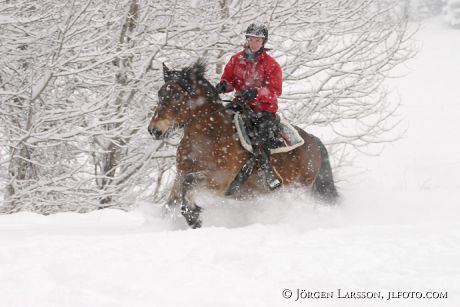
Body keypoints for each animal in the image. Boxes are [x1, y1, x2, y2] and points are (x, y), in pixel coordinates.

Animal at [148, 60, 338, 229]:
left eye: (177, 95)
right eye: (160, 94)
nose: (154, 130)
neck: (209, 136)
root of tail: (313, 141)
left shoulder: (220, 180)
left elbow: (189, 182)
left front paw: (193, 217)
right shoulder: (180, 175)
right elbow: (170, 203)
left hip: (300, 188)